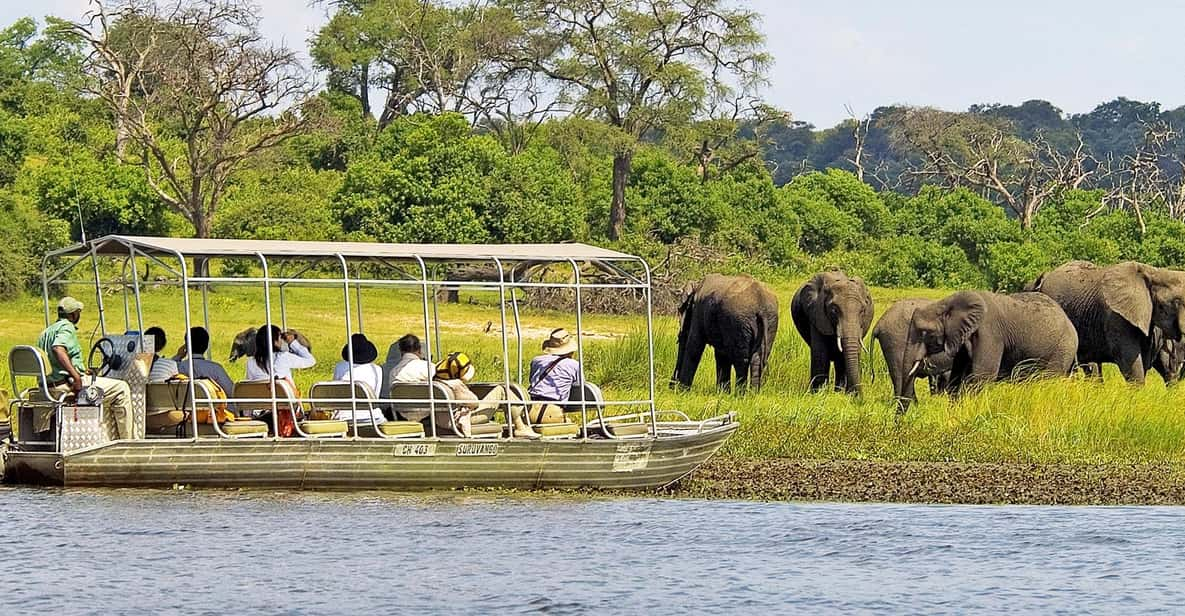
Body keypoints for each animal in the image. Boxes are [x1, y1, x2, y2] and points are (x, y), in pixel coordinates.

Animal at [900, 289, 1080, 390]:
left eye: (925, 333)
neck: (946, 302)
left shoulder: (989, 332)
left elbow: (982, 376)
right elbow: (957, 376)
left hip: (1063, 347)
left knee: (1049, 379)